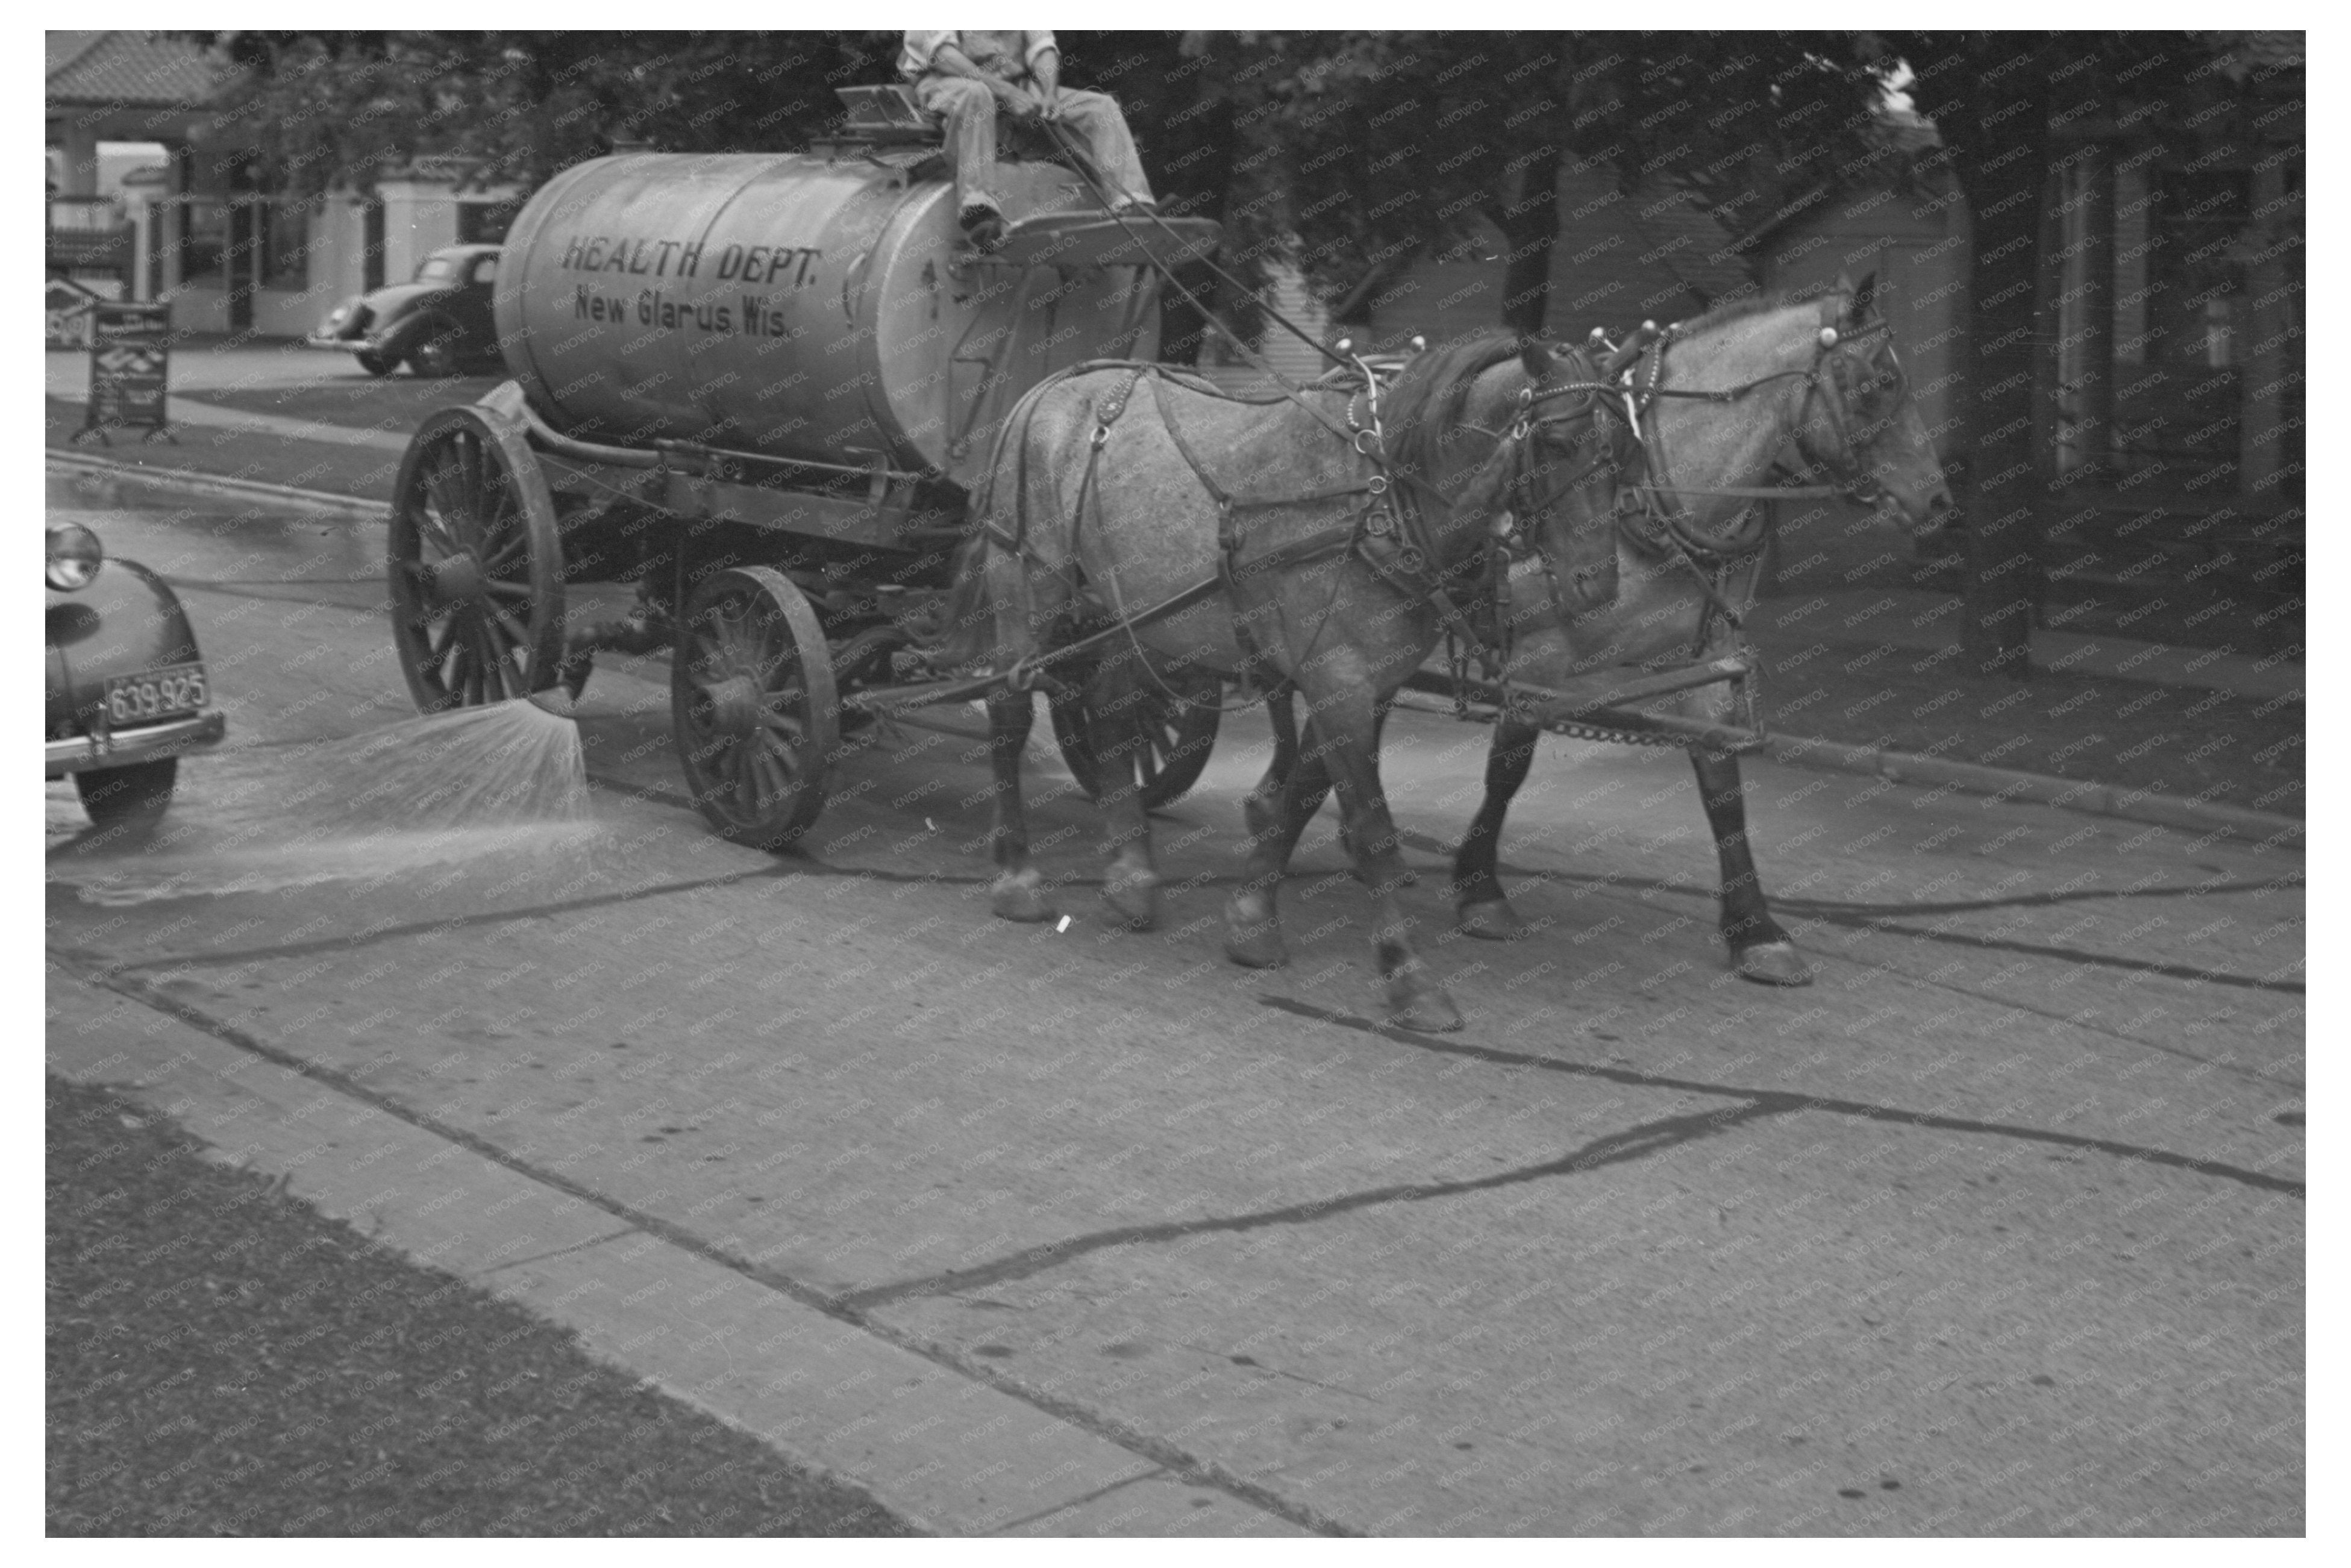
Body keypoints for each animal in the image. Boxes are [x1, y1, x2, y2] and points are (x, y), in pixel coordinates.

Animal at [940, 334, 1636, 1029]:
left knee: (1110, 712)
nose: (1597, 587)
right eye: (1555, 444)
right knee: (1009, 711)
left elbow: (1302, 792)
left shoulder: (1369, 683)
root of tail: (1052, 387)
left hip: (1131, 610)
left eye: (1621, 454)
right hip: (1029, 582)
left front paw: (1252, 920)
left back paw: (1130, 877)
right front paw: (1410, 976)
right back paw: (1017, 876)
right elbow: (1372, 828)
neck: (1379, 501)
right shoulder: (1339, 676)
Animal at [1260, 278, 1956, 992]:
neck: (1646, 484)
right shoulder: (1538, 654)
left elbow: (1721, 785)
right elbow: (1508, 766)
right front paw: (1480, 888)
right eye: (1879, 383)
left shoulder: (1707, 659)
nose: (1936, 502)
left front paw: (1755, 928)